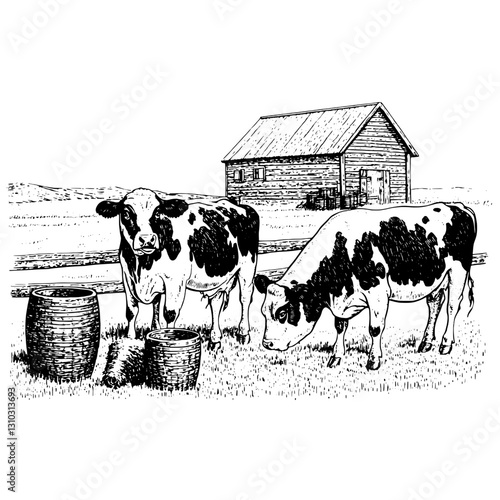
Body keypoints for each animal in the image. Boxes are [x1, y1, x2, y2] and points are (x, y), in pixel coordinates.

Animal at [96, 187, 260, 348]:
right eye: (126, 213)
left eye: (157, 213)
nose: (147, 240)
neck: (142, 265)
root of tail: (239, 205)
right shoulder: (128, 277)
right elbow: (132, 311)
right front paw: (130, 339)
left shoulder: (175, 281)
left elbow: (169, 314)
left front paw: (169, 338)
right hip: (218, 275)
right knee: (216, 303)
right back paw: (215, 340)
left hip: (248, 267)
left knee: (245, 298)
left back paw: (243, 334)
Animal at [254, 201, 476, 370]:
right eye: (263, 312)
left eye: (282, 313)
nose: (267, 343)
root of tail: (457, 206)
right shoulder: (343, 299)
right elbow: (340, 326)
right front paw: (336, 358)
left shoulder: (378, 293)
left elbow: (375, 328)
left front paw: (373, 360)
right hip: (436, 276)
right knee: (435, 305)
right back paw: (426, 343)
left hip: (458, 270)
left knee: (452, 307)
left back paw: (445, 344)